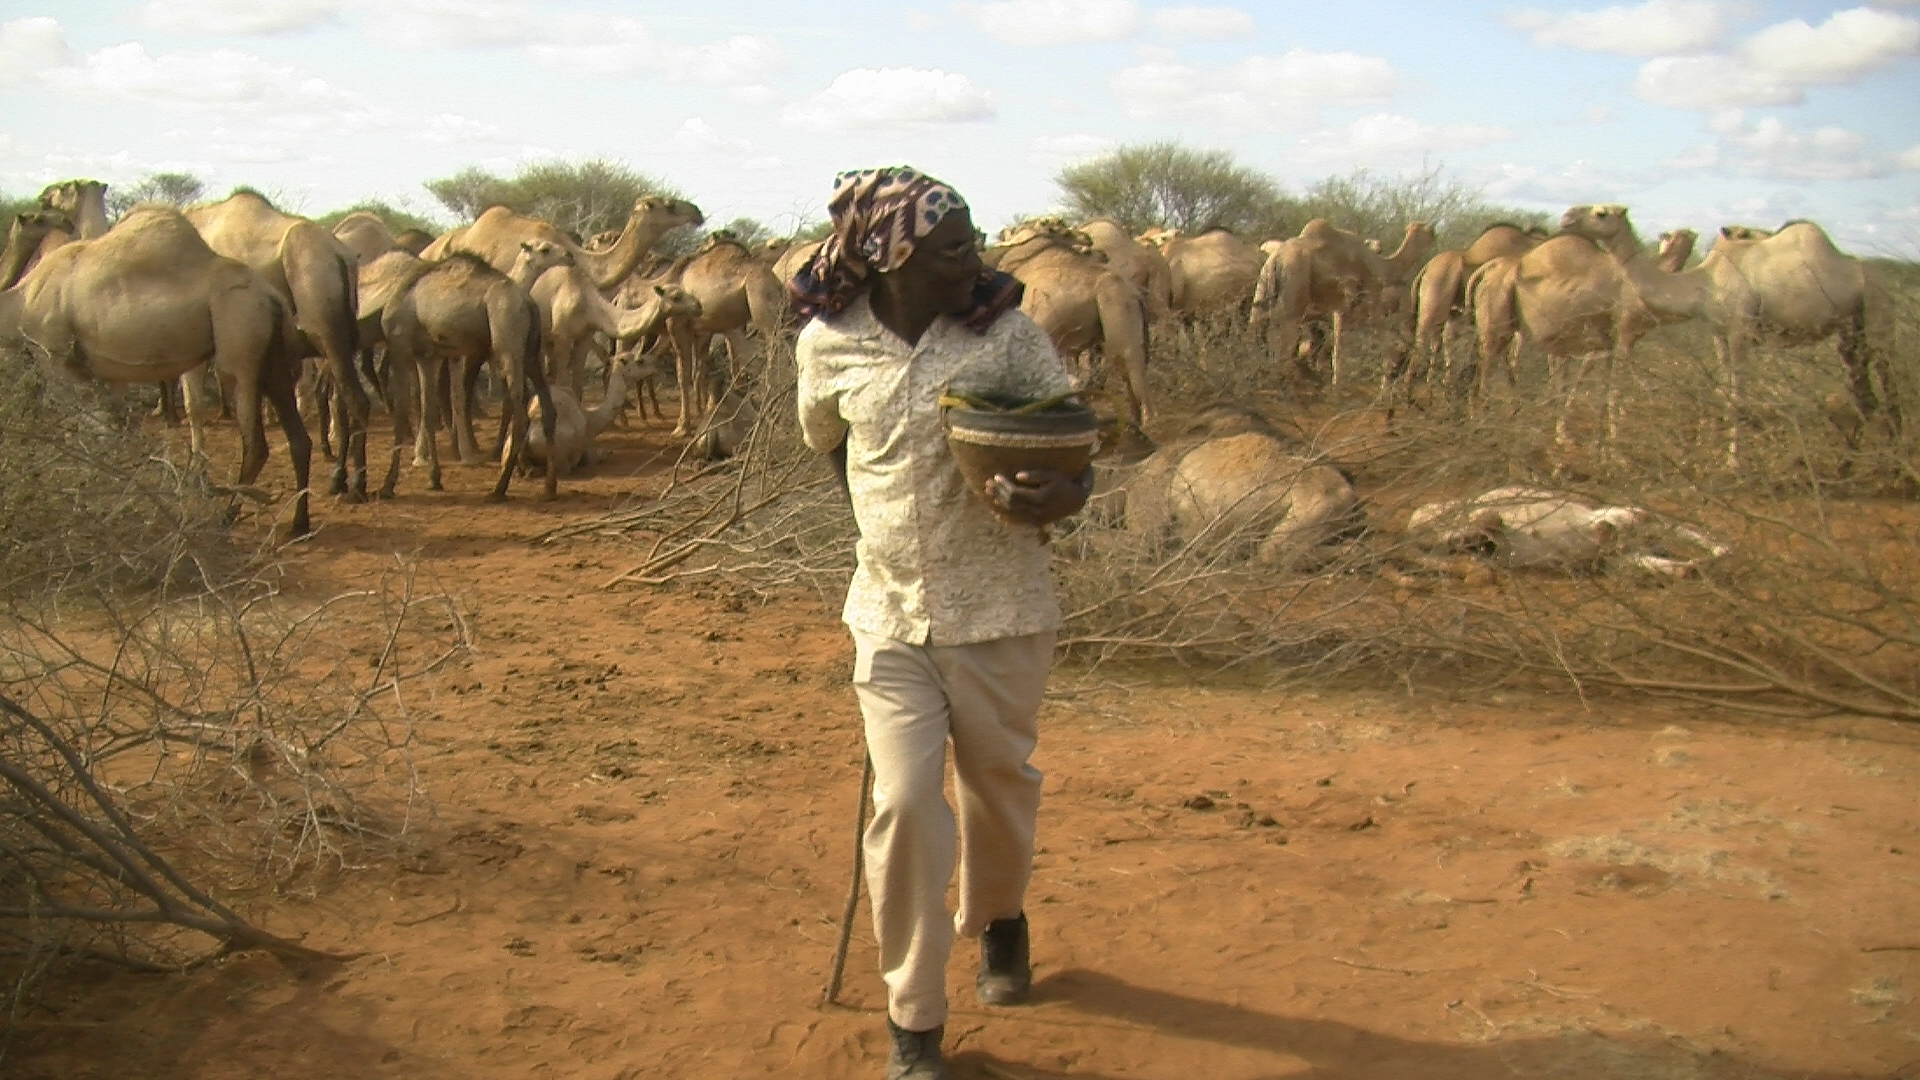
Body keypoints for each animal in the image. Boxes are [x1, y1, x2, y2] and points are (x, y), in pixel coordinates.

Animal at [0, 207, 312, 535]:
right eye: (39, 215)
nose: (64, 221)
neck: (21, 300)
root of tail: (273, 297)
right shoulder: (110, 374)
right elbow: (110, 431)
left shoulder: (54, 356)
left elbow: (86, 431)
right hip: (273, 358)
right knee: (298, 438)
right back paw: (299, 524)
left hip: (241, 343)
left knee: (256, 444)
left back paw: (227, 517)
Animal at [185, 191, 368, 501]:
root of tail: (341, 256)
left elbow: (194, 405)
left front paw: (198, 477)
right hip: (341, 333)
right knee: (341, 398)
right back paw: (339, 479)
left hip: (324, 328)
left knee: (355, 400)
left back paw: (355, 485)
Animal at [377, 252, 557, 501]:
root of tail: (528, 304)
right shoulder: (427, 356)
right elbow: (428, 411)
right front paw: (434, 478)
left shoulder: (400, 347)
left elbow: (401, 411)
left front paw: (387, 485)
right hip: (531, 351)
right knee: (548, 410)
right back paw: (549, 487)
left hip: (506, 342)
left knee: (520, 415)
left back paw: (499, 489)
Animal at [985, 219, 1153, 435]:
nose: (1095, 248)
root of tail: (1134, 292)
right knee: (1124, 365)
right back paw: (1133, 422)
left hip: (1116, 303)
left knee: (1129, 358)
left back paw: (1148, 424)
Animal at [1249, 219, 1435, 390]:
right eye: (1427, 230)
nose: (1434, 234)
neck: (1380, 266)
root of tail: (1277, 257)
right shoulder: (1367, 299)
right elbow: (1360, 345)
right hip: (1295, 286)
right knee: (1285, 338)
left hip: (1263, 283)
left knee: (1258, 326)